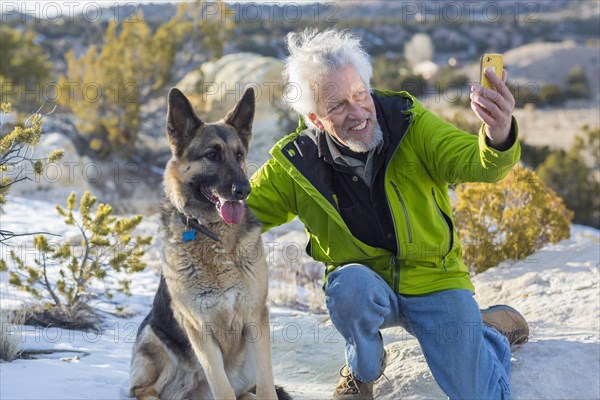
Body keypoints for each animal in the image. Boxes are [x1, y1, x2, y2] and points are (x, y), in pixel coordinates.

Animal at [129, 88, 284, 400]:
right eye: (212, 155)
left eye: (239, 155)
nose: (244, 190)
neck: (211, 233)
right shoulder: (199, 327)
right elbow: (221, 387)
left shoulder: (255, 318)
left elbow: (266, 386)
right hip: (154, 338)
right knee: (142, 389)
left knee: (245, 391)